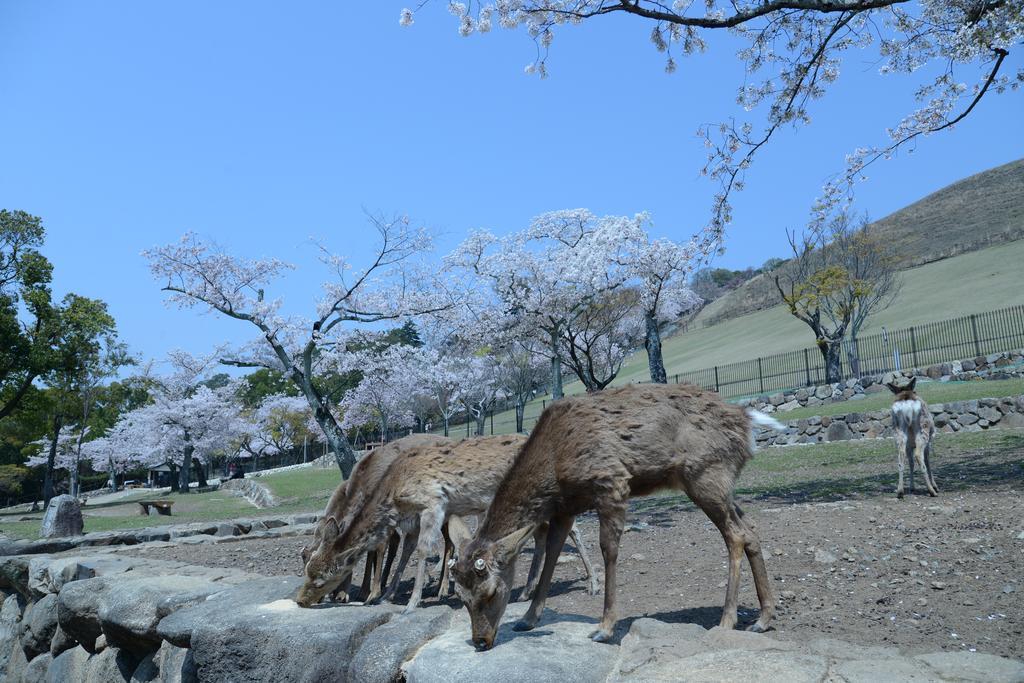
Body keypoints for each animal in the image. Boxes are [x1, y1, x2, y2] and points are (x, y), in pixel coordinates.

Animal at [296, 436, 598, 610]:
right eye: (307, 569)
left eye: (321, 580)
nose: (300, 600)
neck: (394, 492)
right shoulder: (412, 518)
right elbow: (406, 551)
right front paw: (387, 595)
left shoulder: (432, 502)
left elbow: (420, 550)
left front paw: (407, 602)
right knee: (542, 533)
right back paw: (526, 591)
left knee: (570, 527)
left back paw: (592, 584)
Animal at [450, 385, 782, 651]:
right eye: (461, 598)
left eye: (491, 592)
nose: (480, 641)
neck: (553, 468)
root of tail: (748, 423)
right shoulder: (565, 509)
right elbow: (553, 556)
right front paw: (528, 619)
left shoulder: (611, 482)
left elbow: (608, 550)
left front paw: (605, 627)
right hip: (721, 486)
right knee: (750, 531)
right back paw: (763, 618)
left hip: (705, 475)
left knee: (735, 535)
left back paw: (727, 620)